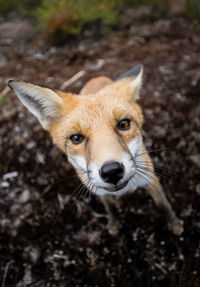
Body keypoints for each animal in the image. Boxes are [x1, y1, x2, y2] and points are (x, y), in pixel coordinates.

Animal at [7, 65, 183, 236]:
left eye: (124, 124)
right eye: (76, 138)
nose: (111, 171)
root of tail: (95, 78)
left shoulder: (150, 180)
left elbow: (163, 205)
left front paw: (174, 224)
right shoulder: (99, 191)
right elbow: (111, 208)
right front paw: (114, 223)